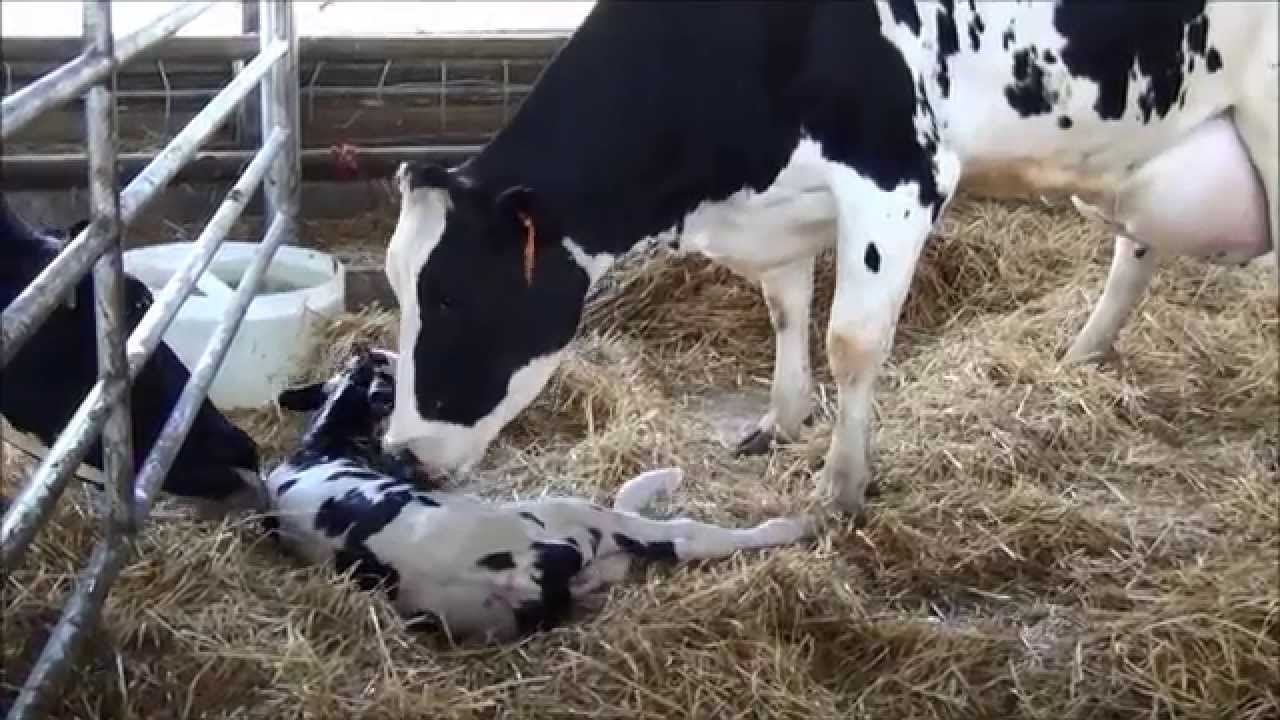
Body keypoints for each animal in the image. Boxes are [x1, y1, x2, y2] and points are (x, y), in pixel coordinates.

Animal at [380, 1, 1278, 518]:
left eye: (453, 297)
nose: (401, 453)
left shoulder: (898, 175)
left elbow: (852, 341)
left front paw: (842, 487)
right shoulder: (781, 205)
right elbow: (786, 308)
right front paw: (780, 420)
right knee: (1135, 248)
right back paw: (1084, 352)